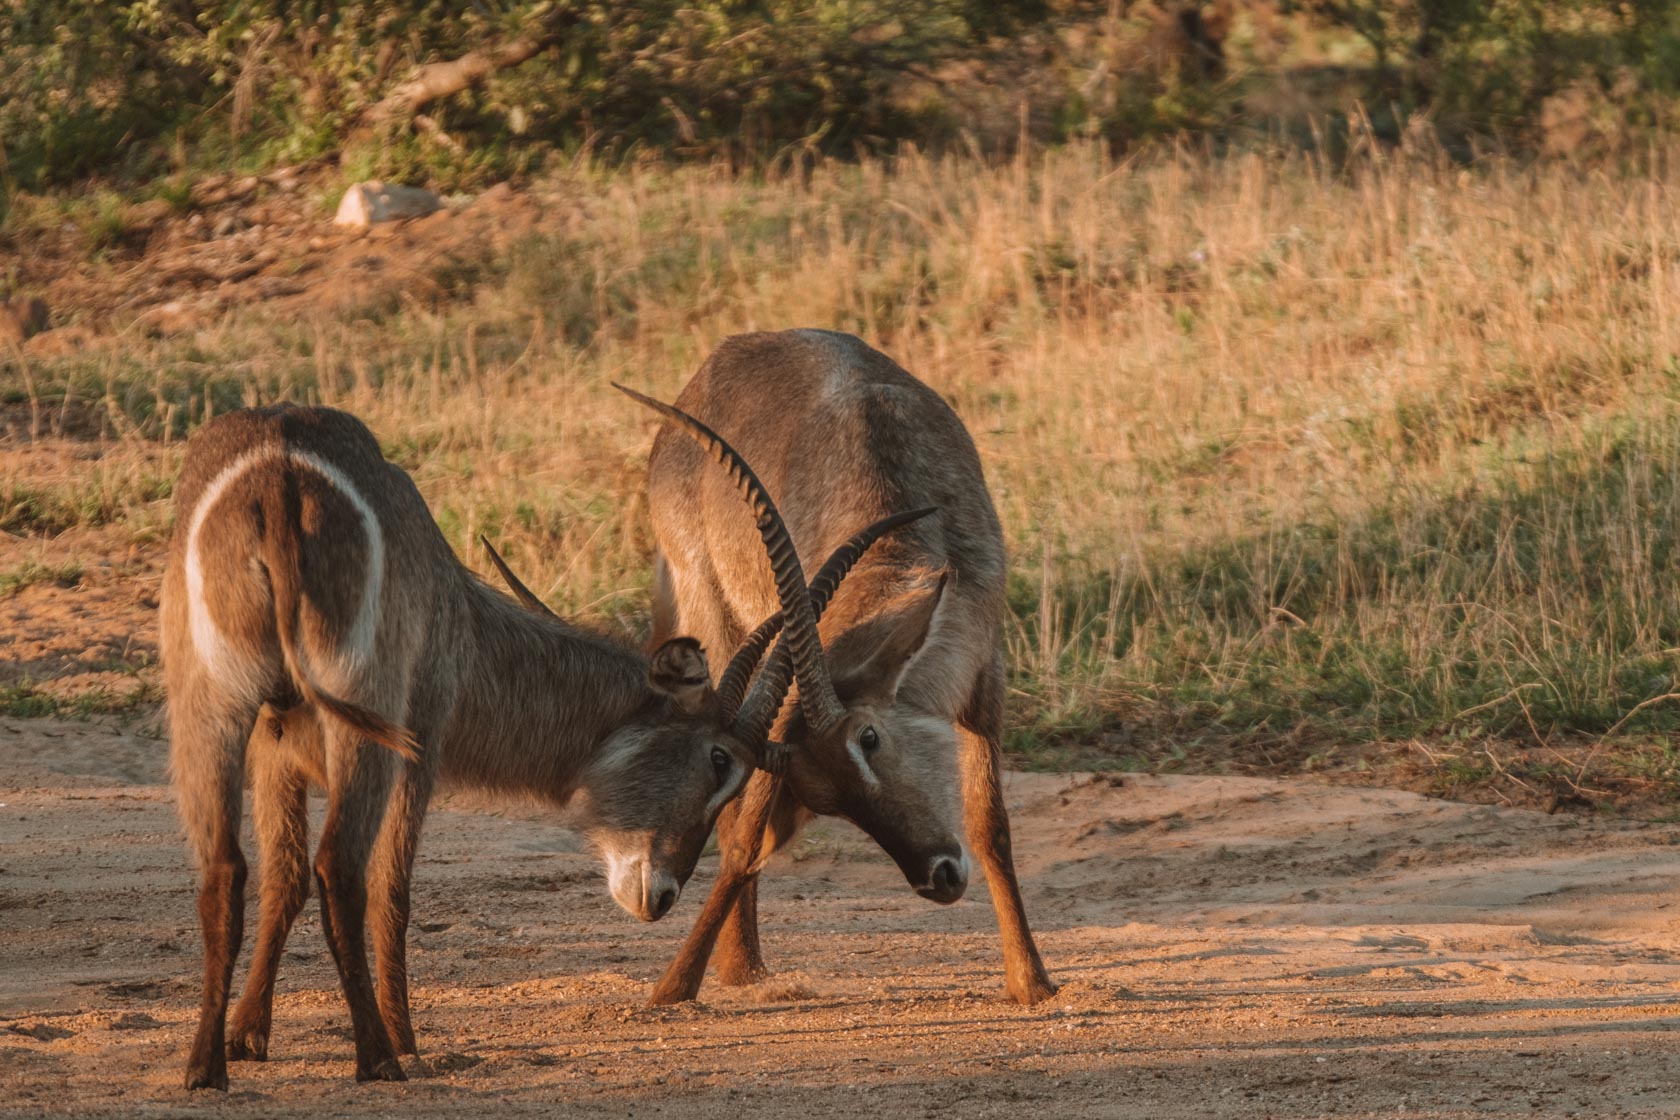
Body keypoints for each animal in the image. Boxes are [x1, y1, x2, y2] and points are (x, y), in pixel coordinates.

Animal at [162, 401, 913, 1088]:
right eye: (718, 758)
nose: (662, 897)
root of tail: (278, 475)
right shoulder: (417, 751)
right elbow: (390, 891)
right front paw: (404, 1038)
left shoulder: (275, 752)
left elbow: (282, 881)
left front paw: (248, 1035)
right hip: (359, 729)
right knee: (339, 868)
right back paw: (377, 1059)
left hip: (211, 712)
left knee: (226, 869)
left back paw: (204, 1068)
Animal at [624, 330, 1055, 1007]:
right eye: (824, 796)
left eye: (869, 738)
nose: (936, 877)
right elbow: (744, 839)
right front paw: (676, 984)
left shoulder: (986, 682)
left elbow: (991, 829)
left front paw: (1031, 982)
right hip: (713, 619)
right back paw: (741, 966)